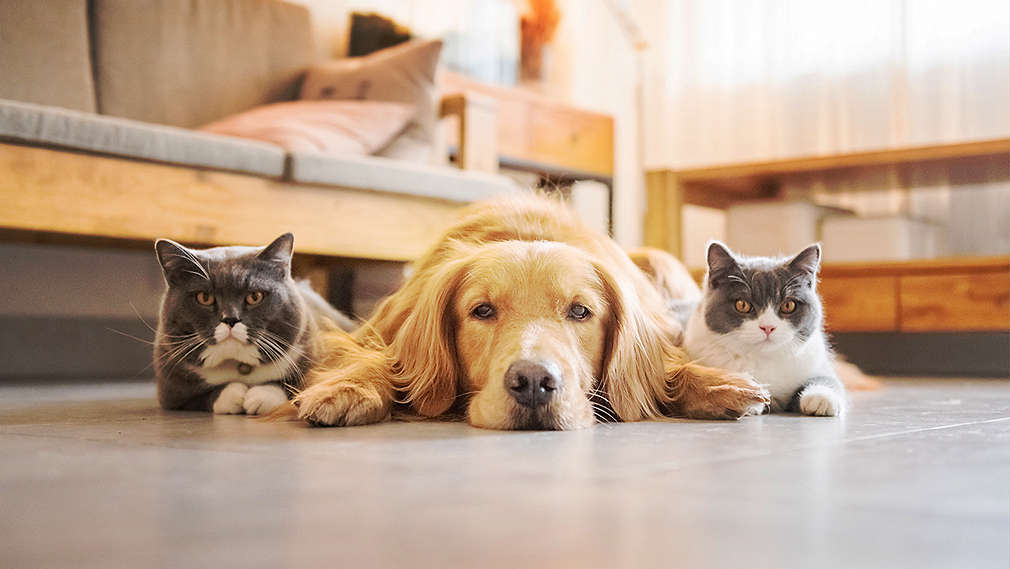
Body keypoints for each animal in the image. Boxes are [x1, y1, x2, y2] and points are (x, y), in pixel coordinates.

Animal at [151, 233, 353, 416]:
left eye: (254, 296)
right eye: (204, 297)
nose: (230, 319)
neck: (239, 364)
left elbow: (297, 385)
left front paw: (261, 396)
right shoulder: (170, 391)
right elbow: (199, 398)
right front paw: (233, 395)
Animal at [288, 194, 767, 430]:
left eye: (580, 311)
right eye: (482, 310)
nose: (534, 383)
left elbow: (669, 366)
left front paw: (719, 384)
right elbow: (377, 359)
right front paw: (347, 388)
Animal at [686, 242, 844, 416]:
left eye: (788, 305)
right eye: (742, 304)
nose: (768, 327)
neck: (763, 358)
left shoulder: (816, 361)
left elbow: (829, 379)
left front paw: (821, 398)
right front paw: (745, 397)